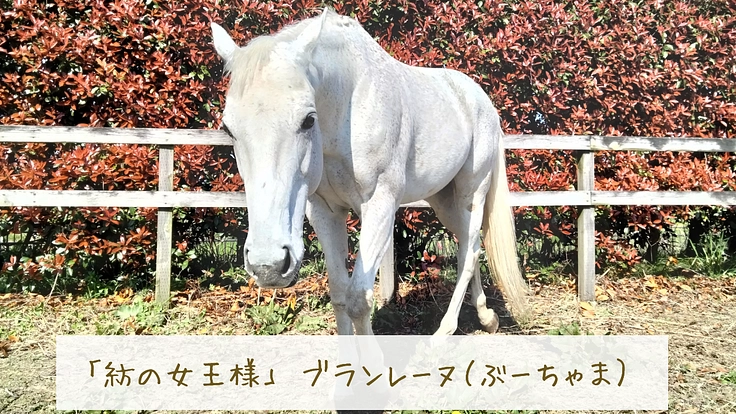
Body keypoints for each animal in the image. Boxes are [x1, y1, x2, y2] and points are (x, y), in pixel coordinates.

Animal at [210, 8, 531, 336]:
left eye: (308, 120)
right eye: (228, 129)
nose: (269, 265)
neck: (347, 108)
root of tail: (481, 100)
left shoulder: (379, 206)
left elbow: (358, 301)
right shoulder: (324, 211)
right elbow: (339, 294)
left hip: (472, 192)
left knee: (469, 251)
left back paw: (442, 334)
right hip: (444, 200)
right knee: (471, 244)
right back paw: (487, 317)